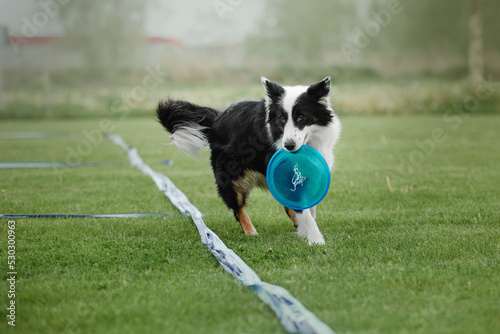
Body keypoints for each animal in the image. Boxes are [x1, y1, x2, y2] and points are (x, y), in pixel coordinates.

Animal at [158, 77, 342, 245]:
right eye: (282, 119)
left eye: (301, 116)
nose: (288, 146)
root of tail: (218, 117)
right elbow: (304, 211)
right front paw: (316, 240)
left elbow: (309, 208)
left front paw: (307, 232)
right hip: (230, 176)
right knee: (238, 207)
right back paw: (251, 232)